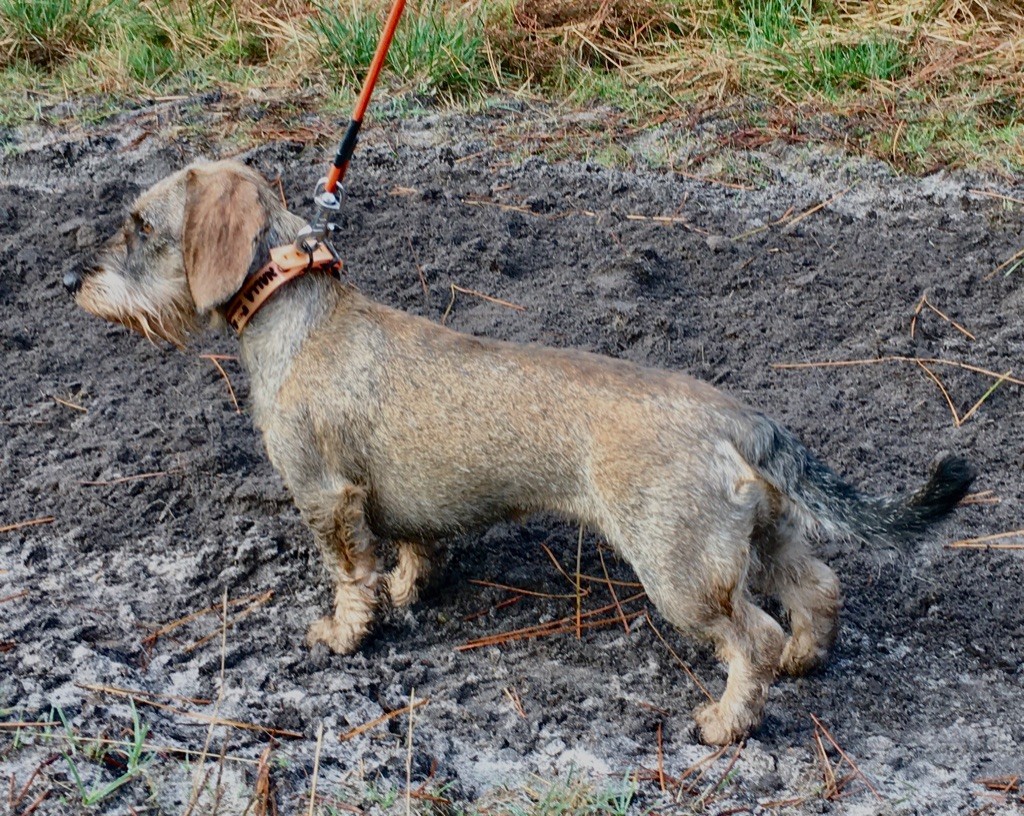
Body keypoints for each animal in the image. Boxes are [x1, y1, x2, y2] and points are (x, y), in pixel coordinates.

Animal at [66, 160, 974, 745]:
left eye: (140, 224)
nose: (75, 282)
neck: (300, 313)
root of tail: (741, 420)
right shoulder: (396, 503)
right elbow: (411, 553)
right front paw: (409, 591)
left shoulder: (325, 494)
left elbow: (351, 577)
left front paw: (342, 634)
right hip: (765, 537)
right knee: (817, 588)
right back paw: (804, 659)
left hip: (680, 570)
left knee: (747, 636)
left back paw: (725, 721)